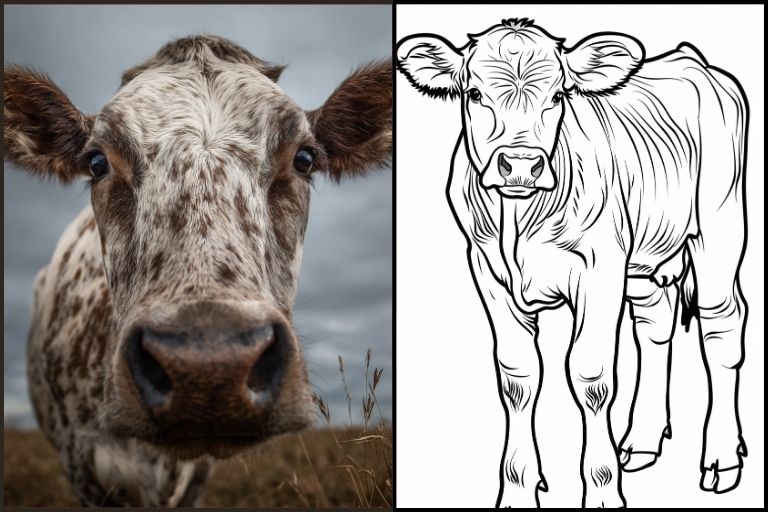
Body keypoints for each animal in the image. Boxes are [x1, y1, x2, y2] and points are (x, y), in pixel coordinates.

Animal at [397, 18, 748, 507]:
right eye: (474, 93)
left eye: (558, 95)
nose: (520, 164)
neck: (519, 220)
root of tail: (690, 58)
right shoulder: (488, 273)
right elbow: (518, 378)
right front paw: (518, 488)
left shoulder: (599, 269)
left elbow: (591, 375)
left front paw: (601, 490)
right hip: (643, 261)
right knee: (655, 326)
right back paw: (642, 441)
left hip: (719, 225)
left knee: (721, 326)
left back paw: (721, 457)